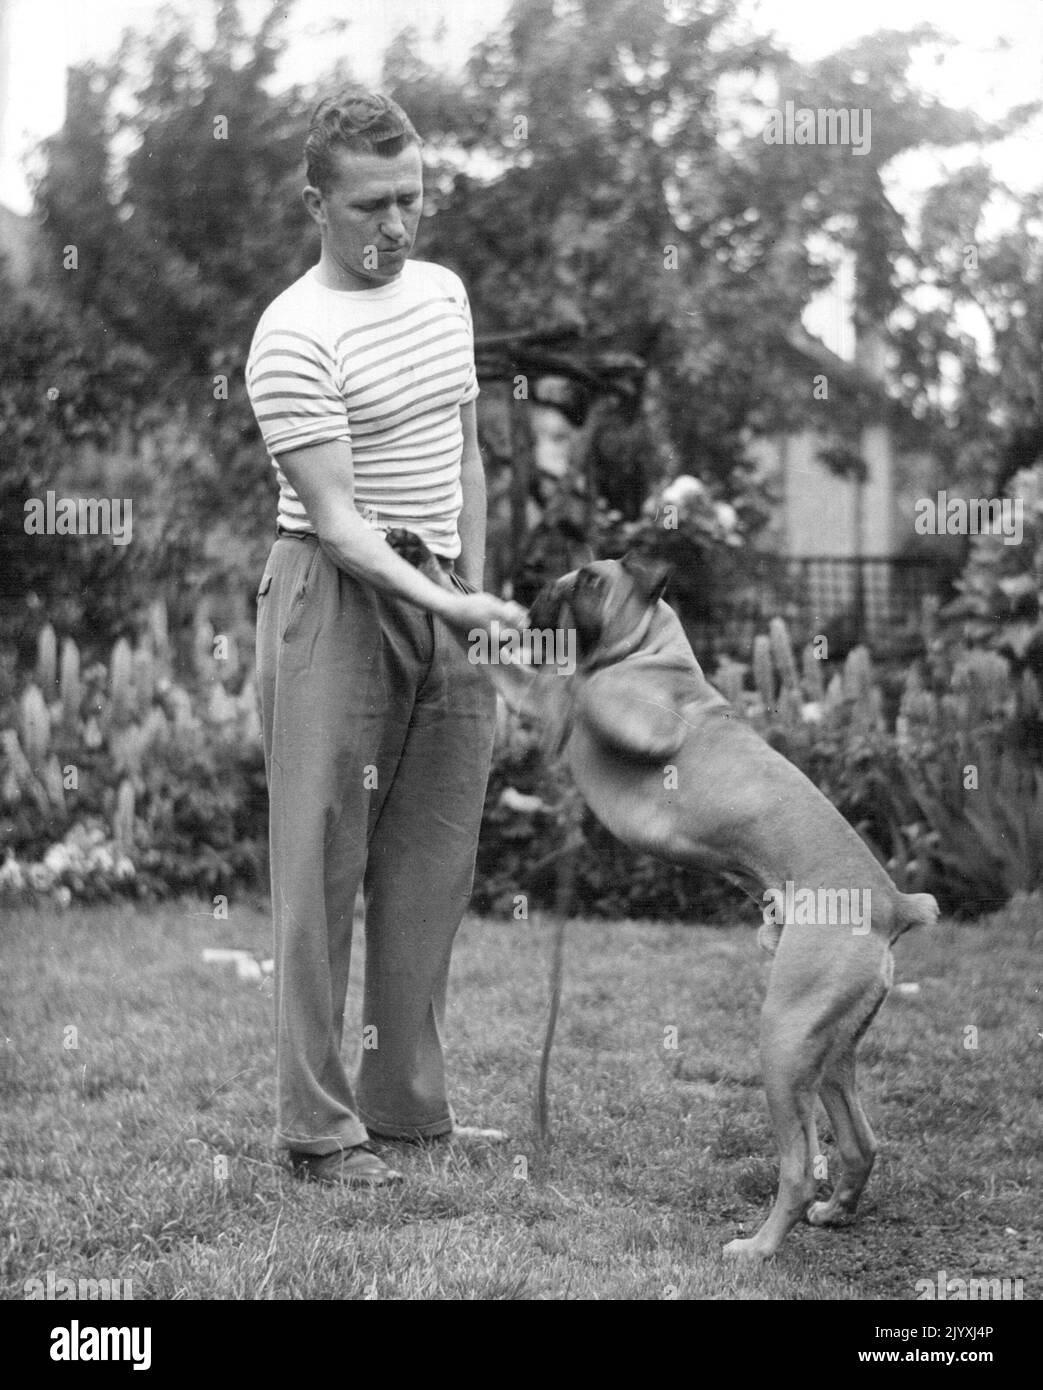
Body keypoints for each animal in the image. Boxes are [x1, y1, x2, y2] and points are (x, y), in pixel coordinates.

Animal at [511, 550, 945, 1262]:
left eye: (593, 581)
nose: (548, 587)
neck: (652, 652)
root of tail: (891, 904)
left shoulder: (636, 717)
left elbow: (566, 686)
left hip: (784, 1040)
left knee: (798, 1166)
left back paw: (760, 1248)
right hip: (829, 1052)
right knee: (859, 1145)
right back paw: (836, 1213)